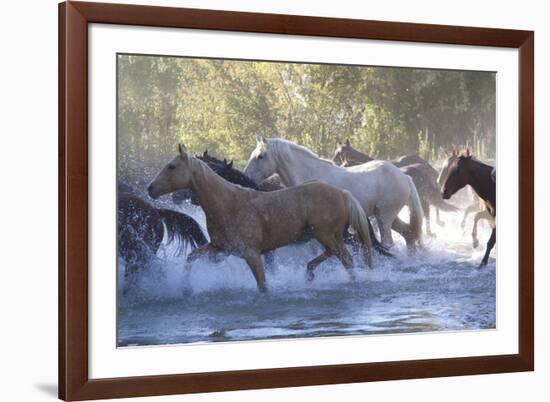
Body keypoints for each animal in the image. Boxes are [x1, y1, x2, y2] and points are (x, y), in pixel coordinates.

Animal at [244, 137, 424, 248]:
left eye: (260, 156)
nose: (246, 176)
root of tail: (404, 176)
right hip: (387, 217)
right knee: (408, 235)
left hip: (384, 217)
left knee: (389, 242)